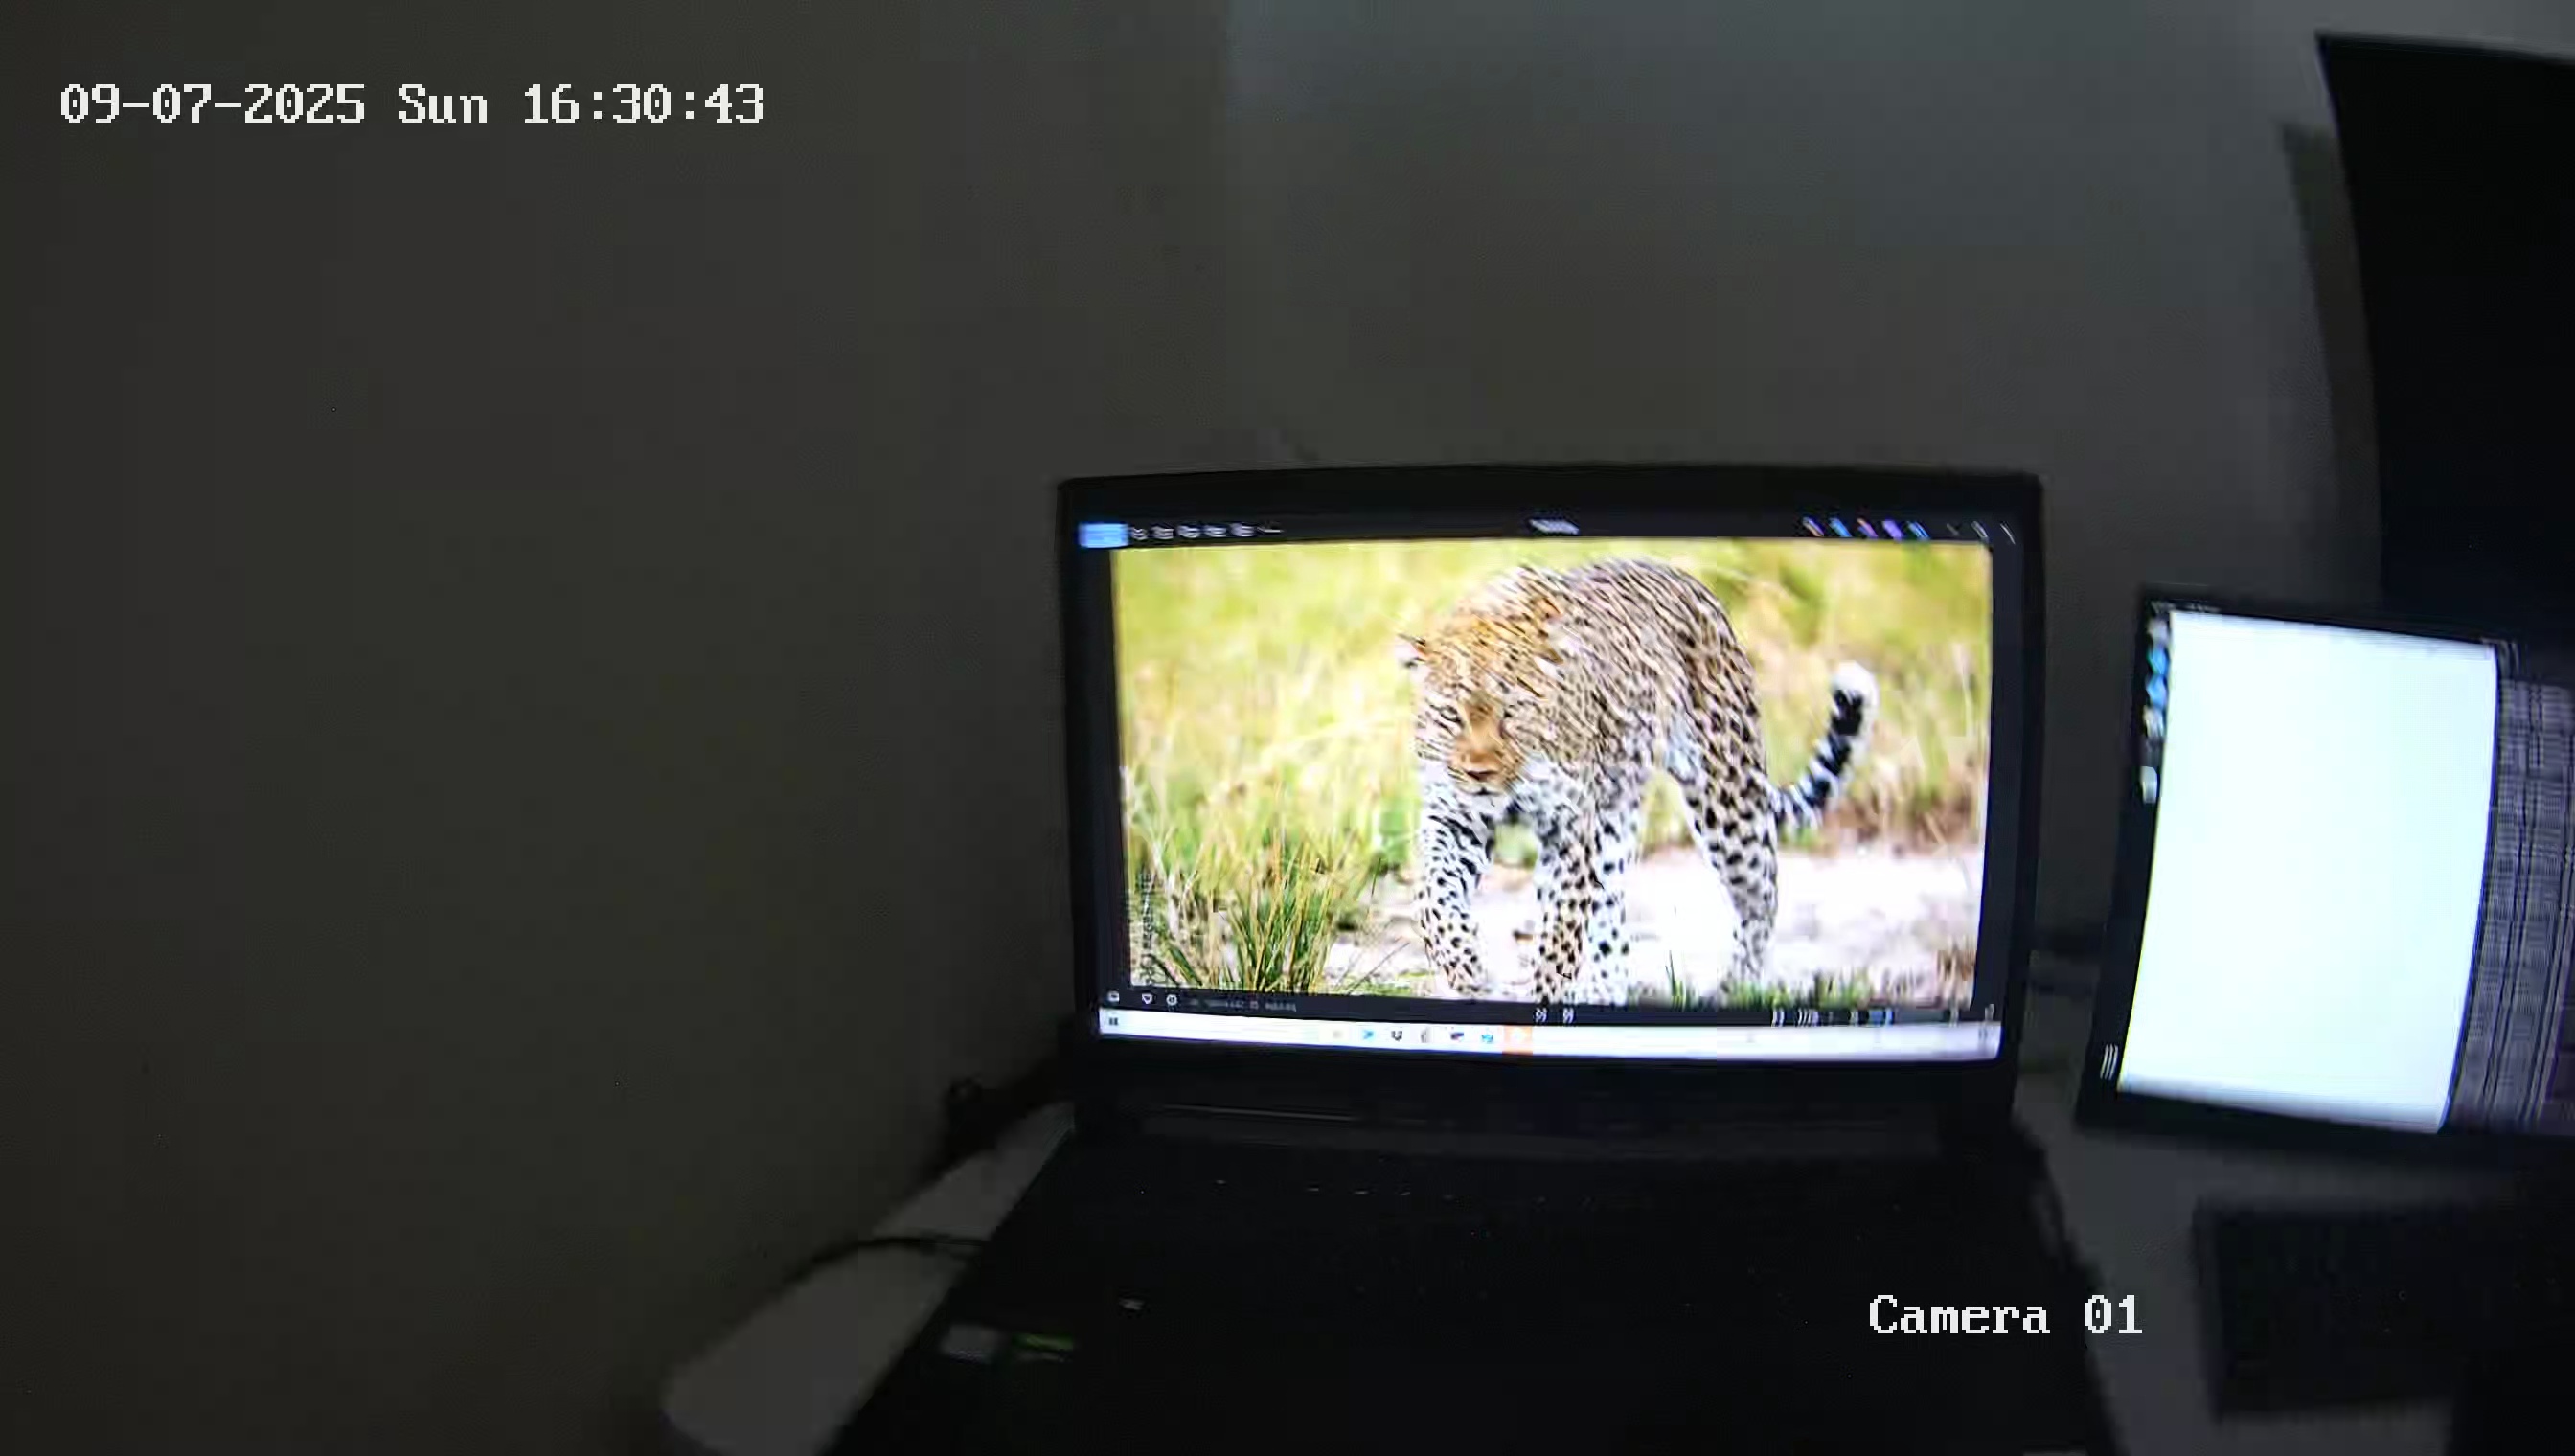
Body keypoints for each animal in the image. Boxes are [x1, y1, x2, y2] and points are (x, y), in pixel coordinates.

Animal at [1398, 558, 1877, 1004]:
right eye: (1451, 716)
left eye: (1511, 714)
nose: (1480, 774)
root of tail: (1687, 580)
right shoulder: (1455, 821)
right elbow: (1435, 898)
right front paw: (1467, 972)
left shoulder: (1570, 829)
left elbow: (1560, 931)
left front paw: (1545, 996)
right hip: (1617, 820)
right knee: (1611, 915)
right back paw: (1604, 992)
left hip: (1726, 798)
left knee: (1760, 895)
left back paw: (1734, 987)